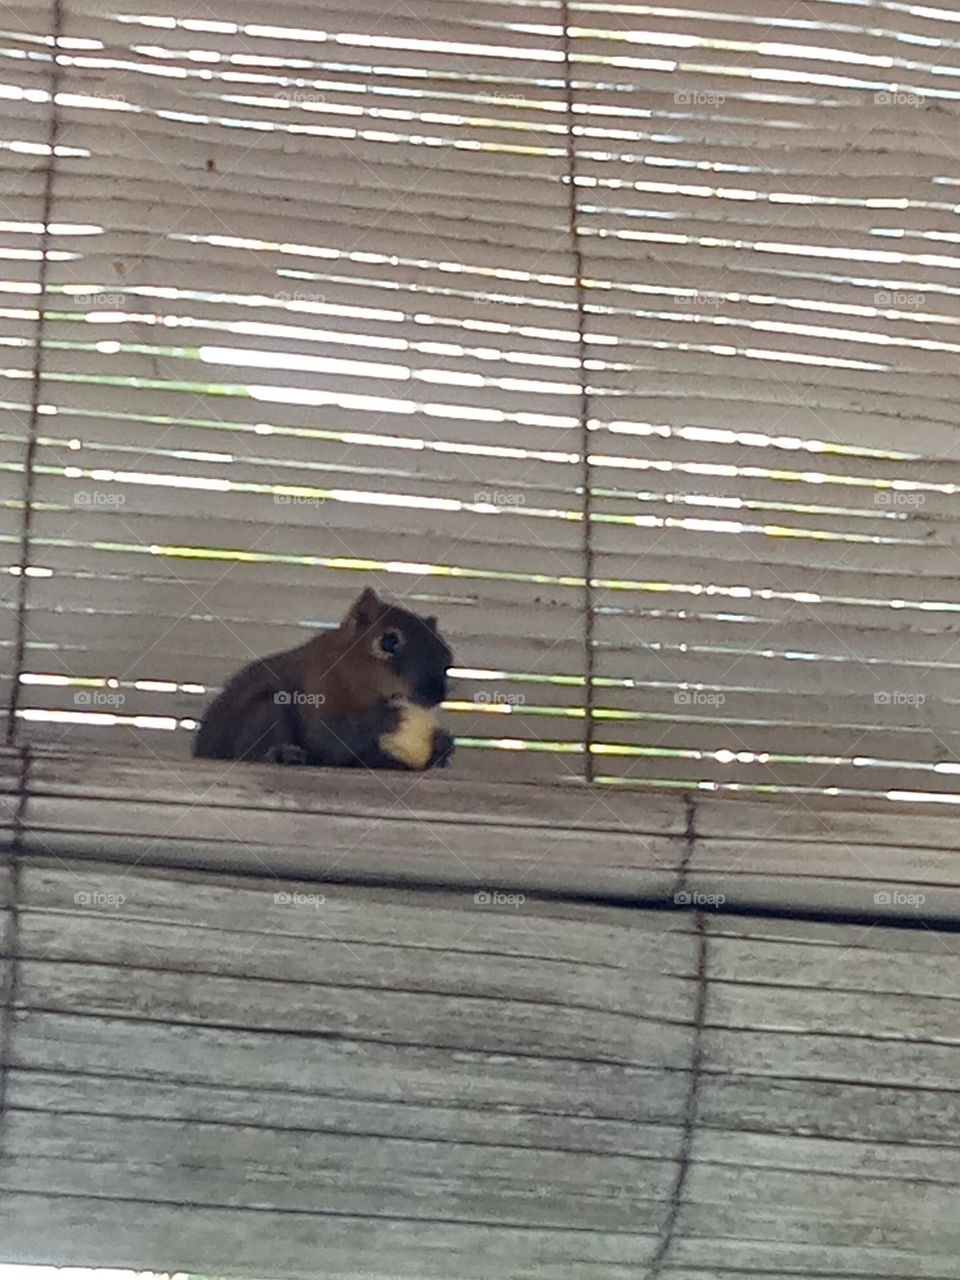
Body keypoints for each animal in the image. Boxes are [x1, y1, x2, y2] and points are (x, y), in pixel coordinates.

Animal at [193, 586, 455, 771]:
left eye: (446, 654)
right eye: (388, 641)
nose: (436, 695)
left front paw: (441, 745)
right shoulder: (316, 687)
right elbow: (327, 740)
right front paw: (381, 718)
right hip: (265, 709)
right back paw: (280, 754)